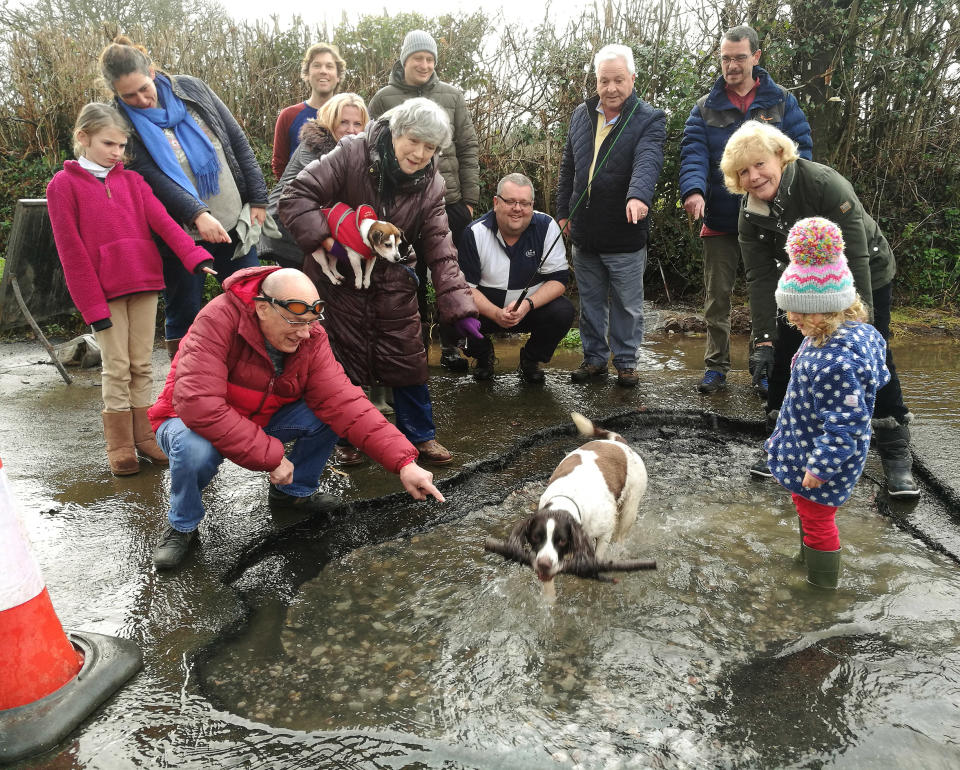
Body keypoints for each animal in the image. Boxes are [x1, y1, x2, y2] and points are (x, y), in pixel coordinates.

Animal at [506, 412, 648, 592]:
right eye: (536, 537)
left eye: (561, 540)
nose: (544, 564)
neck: (566, 499)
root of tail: (619, 443)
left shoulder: (604, 534)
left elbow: (596, 557)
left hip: (630, 507)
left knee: (621, 535)